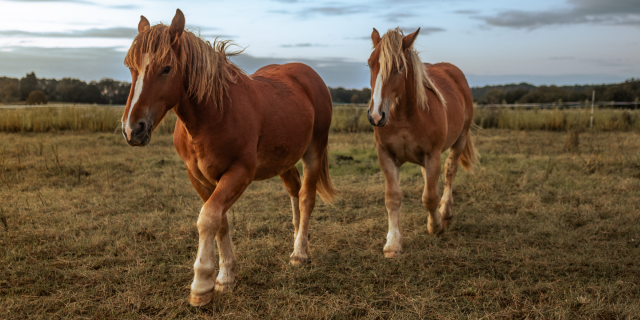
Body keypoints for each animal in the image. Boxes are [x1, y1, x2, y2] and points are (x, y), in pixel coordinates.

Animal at [122, 8, 338, 306]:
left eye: (166, 68)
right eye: (131, 67)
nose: (133, 129)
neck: (215, 114)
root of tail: (308, 74)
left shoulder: (239, 173)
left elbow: (208, 218)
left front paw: (201, 285)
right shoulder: (200, 177)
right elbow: (220, 221)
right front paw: (225, 278)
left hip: (314, 150)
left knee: (306, 197)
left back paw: (299, 253)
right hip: (284, 159)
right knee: (294, 191)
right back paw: (297, 240)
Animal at [368, 26, 478, 258]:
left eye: (399, 67)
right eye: (370, 63)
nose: (376, 116)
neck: (404, 116)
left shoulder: (432, 155)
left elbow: (430, 197)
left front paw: (435, 226)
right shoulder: (386, 156)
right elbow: (393, 198)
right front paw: (393, 243)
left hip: (460, 139)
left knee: (449, 171)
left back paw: (445, 212)